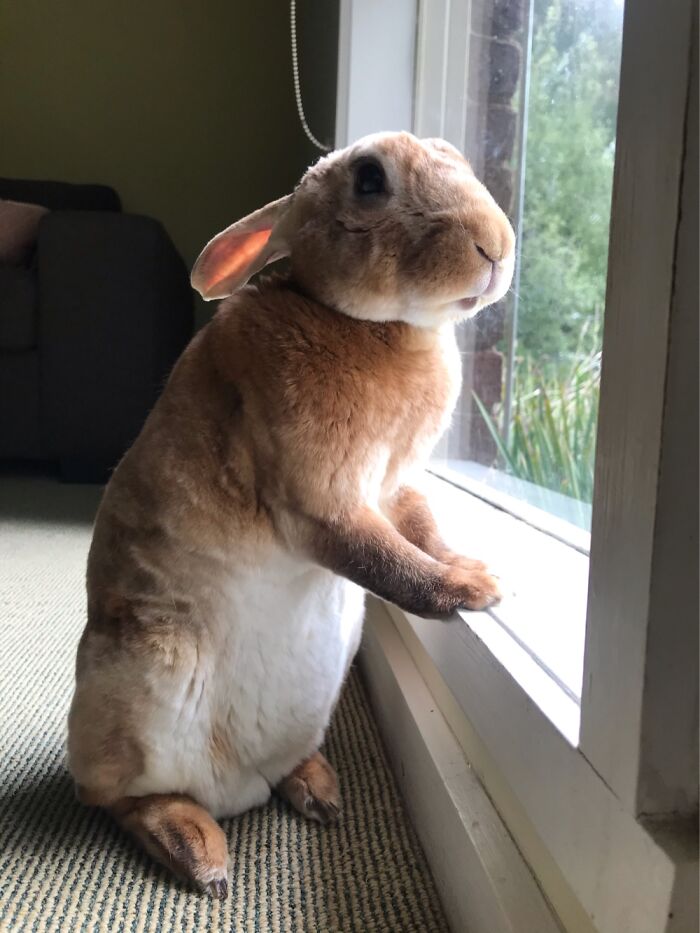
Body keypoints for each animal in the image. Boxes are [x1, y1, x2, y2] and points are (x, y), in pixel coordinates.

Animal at [67, 131, 515, 898]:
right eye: (369, 180)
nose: (495, 246)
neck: (376, 325)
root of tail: (234, 789)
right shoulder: (321, 501)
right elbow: (384, 557)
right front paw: (469, 590)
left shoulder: (395, 488)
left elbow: (421, 528)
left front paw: (469, 565)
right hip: (143, 688)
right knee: (124, 800)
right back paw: (201, 856)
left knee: (275, 771)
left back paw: (317, 792)